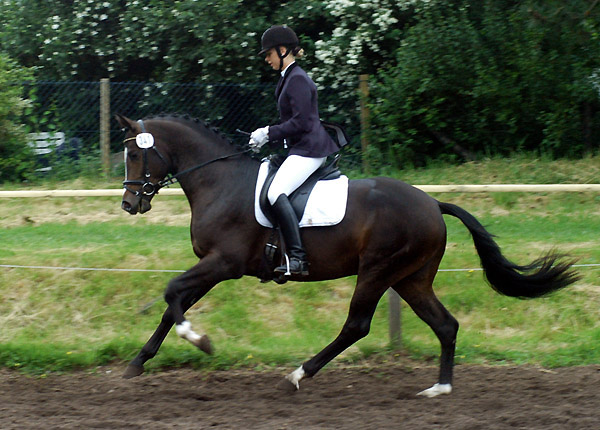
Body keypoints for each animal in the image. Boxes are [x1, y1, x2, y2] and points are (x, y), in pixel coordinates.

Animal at [115, 113, 580, 396]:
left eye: (136, 153)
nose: (129, 204)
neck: (219, 182)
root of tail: (433, 203)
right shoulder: (212, 266)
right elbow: (172, 303)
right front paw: (137, 363)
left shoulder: (222, 264)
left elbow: (171, 293)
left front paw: (201, 341)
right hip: (410, 278)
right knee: (445, 325)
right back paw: (440, 388)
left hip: (377, 271)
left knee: (357, 325)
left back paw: (298, 374)